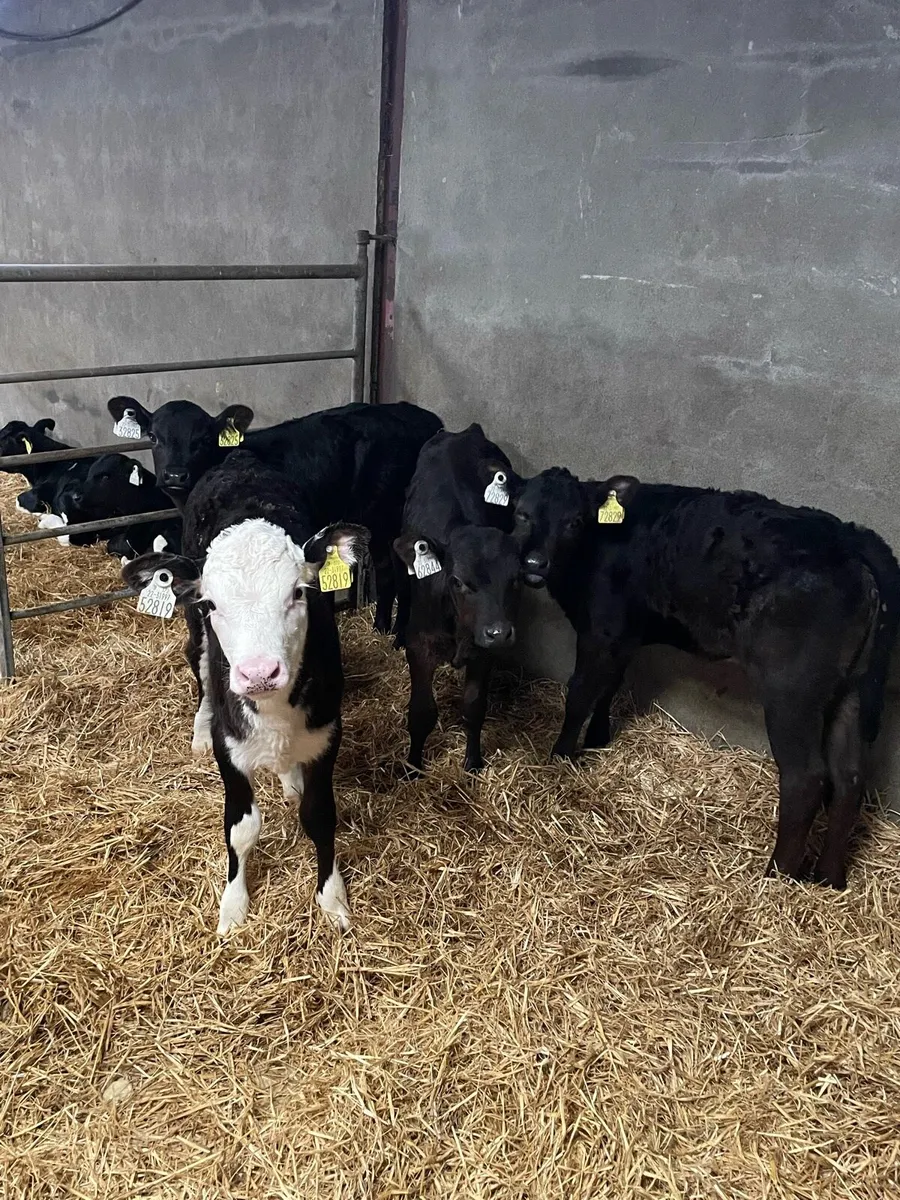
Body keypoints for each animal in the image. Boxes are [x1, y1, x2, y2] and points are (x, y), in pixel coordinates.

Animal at [107, 396, 442, 644]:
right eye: (153, 437)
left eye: (202, 439)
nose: (175, 475)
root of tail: (420, 415)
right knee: (386, 571)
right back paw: (381, 627)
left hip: (391, 518)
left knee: (403, 573)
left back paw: (399, 637)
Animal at [122, 450, 369, 935]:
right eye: (212, 603)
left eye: (300, 593)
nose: (259, 673)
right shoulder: (229, 744)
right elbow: (241, 827)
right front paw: (234, 906)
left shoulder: (328, 732)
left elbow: (319, 815)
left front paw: (332, 899)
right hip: (197, 642)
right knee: (197, 669)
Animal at [393, 423, 525, 774]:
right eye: (457, 581)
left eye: (516, 579)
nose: (499, 632)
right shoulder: (421, 646)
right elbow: (421, 712)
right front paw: (413, 767)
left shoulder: (484, 650)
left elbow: (474, 708)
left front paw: (473, 761)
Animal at [512, 467, 900, 889]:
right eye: (521, 513)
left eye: (574, 522)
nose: (534, 562)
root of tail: (851, 537)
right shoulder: (624, 635)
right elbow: (609, 688)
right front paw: (598, 740)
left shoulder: (601, 630)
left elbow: (580, 693)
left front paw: (560, 758)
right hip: (853, 686)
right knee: (849, 777)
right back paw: (829, 879)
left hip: (793, 692)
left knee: (806, 778)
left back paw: (776, 878)